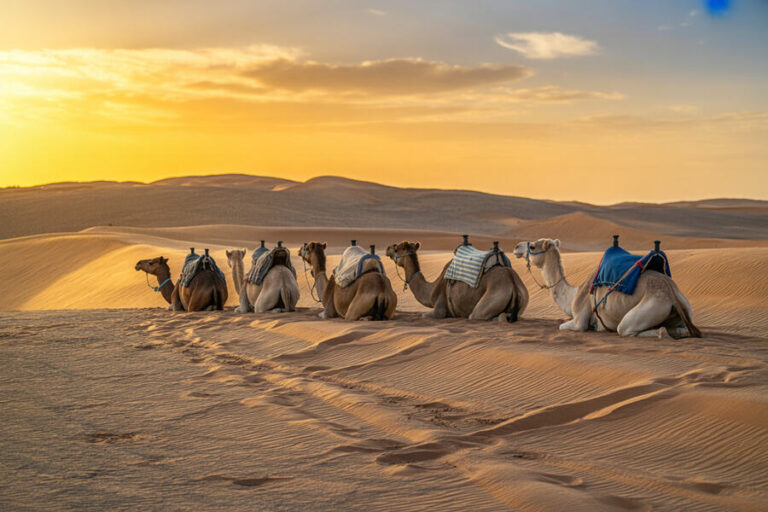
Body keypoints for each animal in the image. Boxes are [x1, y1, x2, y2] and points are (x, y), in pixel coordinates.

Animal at [386, 241, 528, 322]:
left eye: (397, 248)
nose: (387, 249)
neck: (431, 290)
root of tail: (513, 283)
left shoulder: (440, 308)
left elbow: (425, 315)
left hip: (490, 301)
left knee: (490, 317)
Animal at [513, 238, 701, 338]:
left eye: (532, 246)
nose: (516, 247)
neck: (573, 293)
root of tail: (671, 292)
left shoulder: (580, 319)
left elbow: (563, 327)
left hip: (650, 307)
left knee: (632, 330)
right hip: (684, 310)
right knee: (682, 329)